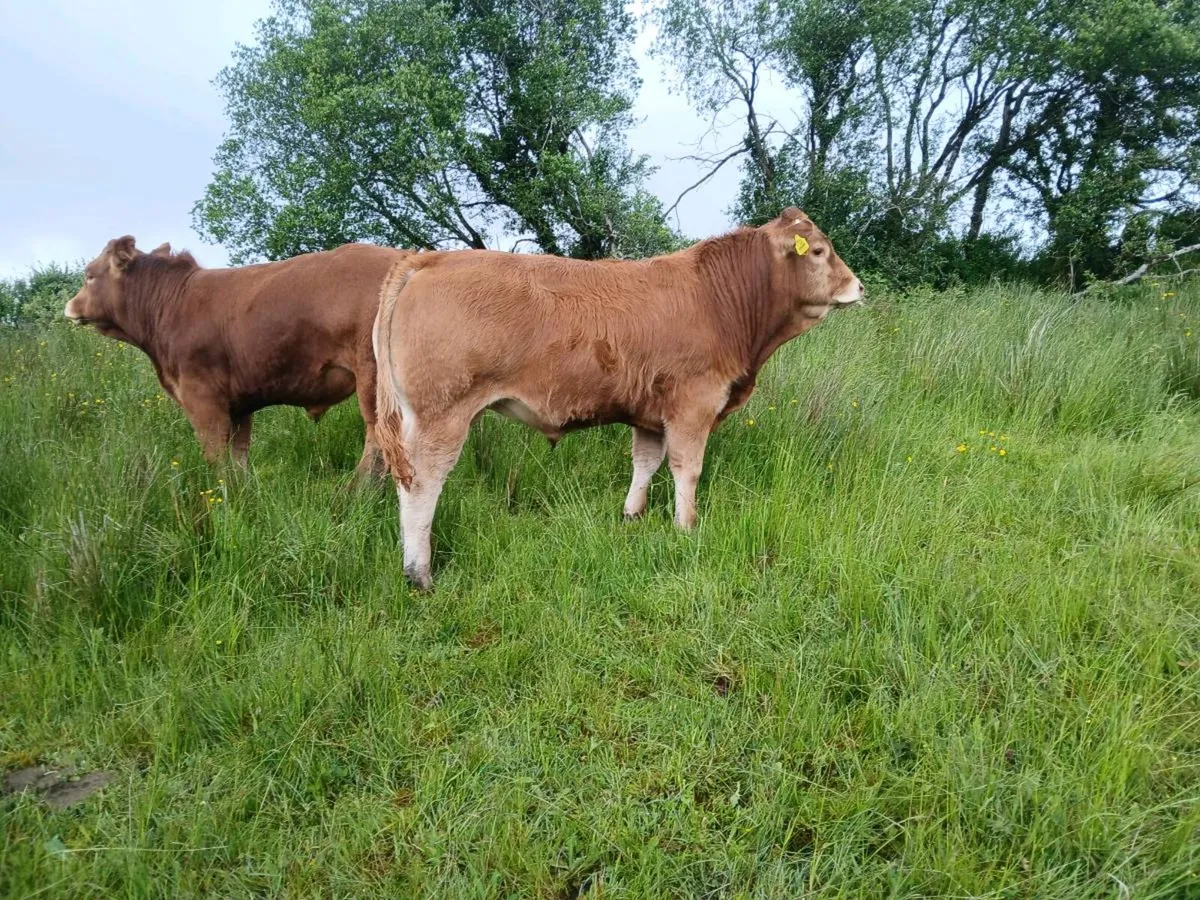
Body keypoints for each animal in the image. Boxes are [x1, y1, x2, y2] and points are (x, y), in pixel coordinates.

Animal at [64, 237, 412, 476]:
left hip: (373, 379)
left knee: (380, 444)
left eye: (89, 275)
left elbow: (215, 455)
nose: (70, 306)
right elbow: (238, 458)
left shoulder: (202, 399)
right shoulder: (239, 405)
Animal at [372, 207, 863, 589]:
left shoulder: (651, 414)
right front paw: (686, 529)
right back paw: (419, 572)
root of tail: (428, 259)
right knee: (422, 483)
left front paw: (632, 517)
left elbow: (645, 463)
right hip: (441, 414)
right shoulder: (694, 404)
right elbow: (687, 469)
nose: (858, 287)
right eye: (818, 252)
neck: (717, 300)